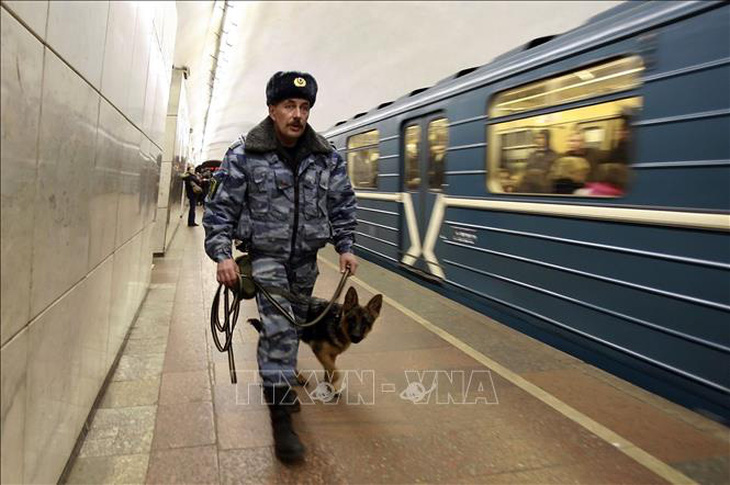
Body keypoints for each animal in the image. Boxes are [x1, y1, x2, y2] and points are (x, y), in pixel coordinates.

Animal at [249, 286, 382, 392]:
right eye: (352, 320)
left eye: (365, 322)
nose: (356, 336)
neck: (337, 322)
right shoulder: (320, 351)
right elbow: (335, 372)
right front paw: (332, 382)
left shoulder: (331, 355)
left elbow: (329, 370)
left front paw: (329, 386)